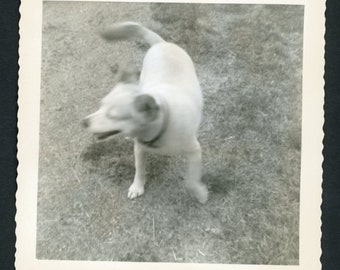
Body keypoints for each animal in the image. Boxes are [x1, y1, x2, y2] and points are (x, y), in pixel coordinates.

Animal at [83, 22, 210, 202]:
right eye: (100, 106)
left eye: (112, 115)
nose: (84, 122)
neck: (164, 122)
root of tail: (161, 43)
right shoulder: (140, 149)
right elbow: (139, 169)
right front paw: (137, 186)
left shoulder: (195, 151)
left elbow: (191, 180)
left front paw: (199, 193)